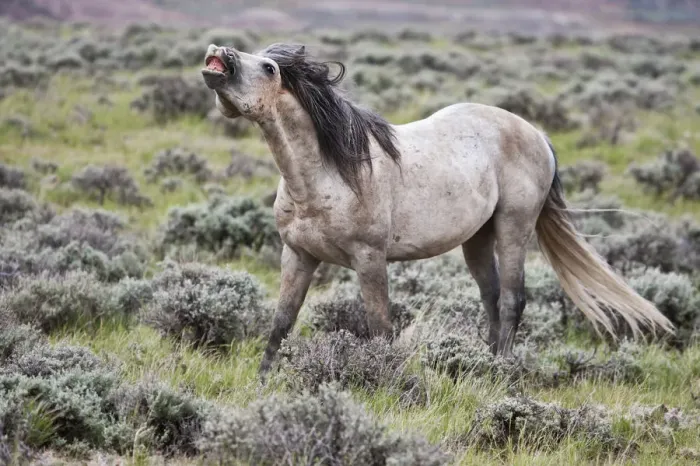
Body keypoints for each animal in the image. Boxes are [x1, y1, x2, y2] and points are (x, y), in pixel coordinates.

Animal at [200, 43, 674, 376]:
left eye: (269, 68)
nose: (218, 53)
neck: (327, 173)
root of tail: (536, 133)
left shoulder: (369, 259)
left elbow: (379, 327)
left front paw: (382, 381)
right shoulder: (298, 255)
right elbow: (282, 321)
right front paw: (263, 384)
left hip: (514, 227)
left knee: (512, 299)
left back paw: (500, 372)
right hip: (477, 239)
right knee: (491, 296)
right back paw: (483, 365)